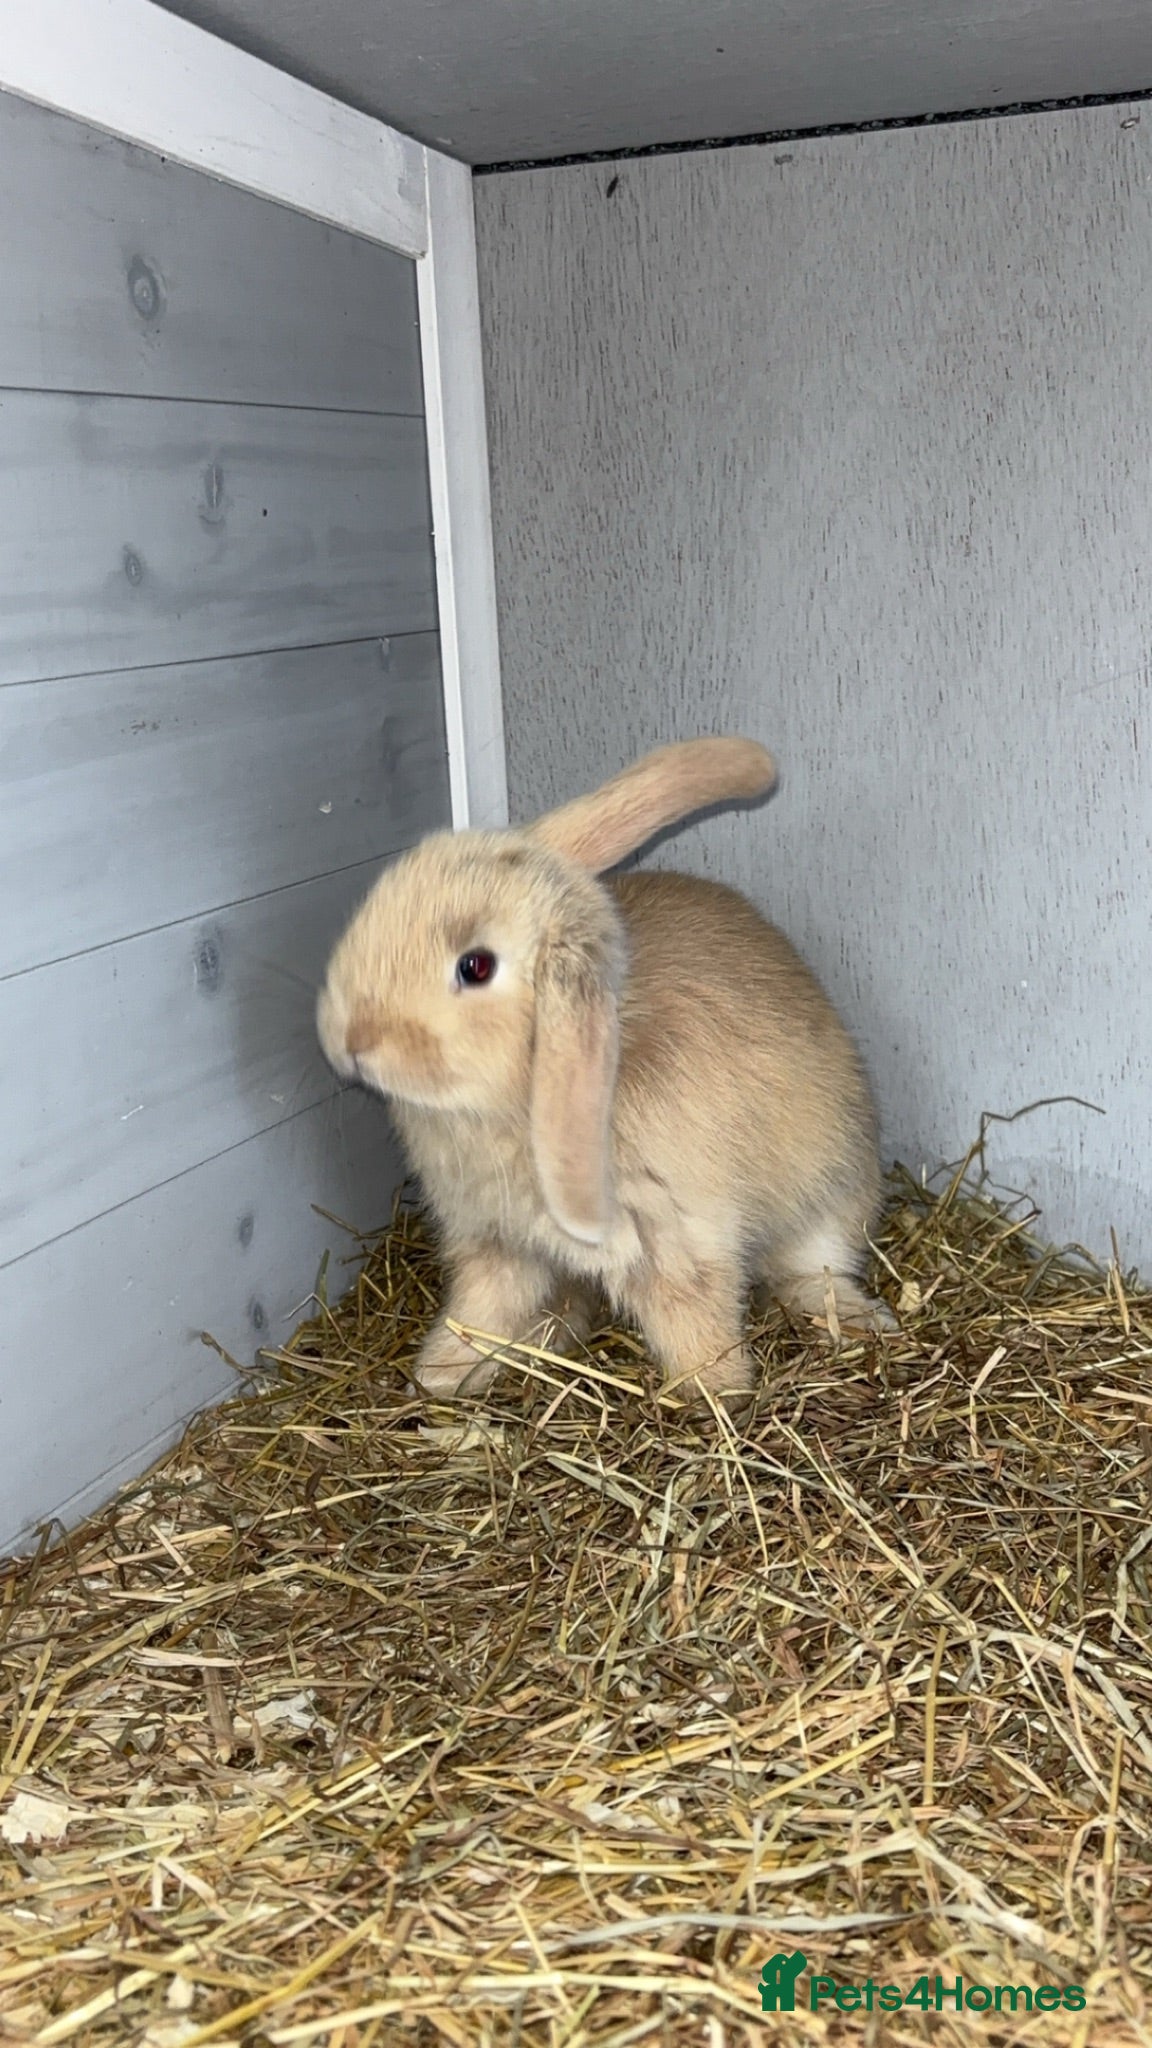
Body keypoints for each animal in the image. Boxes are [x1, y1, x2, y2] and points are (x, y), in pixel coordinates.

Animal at [316, 737, 893, 1410]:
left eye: (475, 966)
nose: (349, 1038)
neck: (513, 1103)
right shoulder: (496, 1243)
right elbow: (478, 1313)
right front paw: (437, 1377)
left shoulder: (675, 1240)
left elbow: (695, 1321)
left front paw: (715, 1396)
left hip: (828, 1202)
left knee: (810, 1271)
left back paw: (861, 1322)